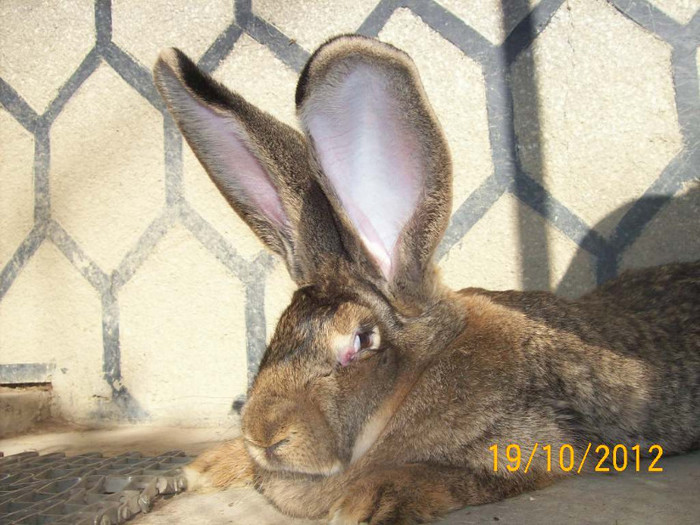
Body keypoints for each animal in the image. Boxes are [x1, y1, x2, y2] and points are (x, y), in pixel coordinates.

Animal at [153, 35, 700, 524]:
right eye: (280, 326)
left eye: (361, 340)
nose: (265, 435)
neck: (416, 378)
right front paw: (202, 468)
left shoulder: (532, 447)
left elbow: (450, 475)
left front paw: (366, 502)